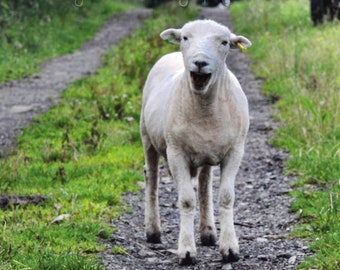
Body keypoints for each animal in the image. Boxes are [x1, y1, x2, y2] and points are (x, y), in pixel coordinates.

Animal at [139, 20, 251, 264]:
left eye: (224, 42)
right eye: (185, 38)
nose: (200, 62)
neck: (205, 107)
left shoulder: (235, 151)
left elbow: (226, 197)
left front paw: (229, 248)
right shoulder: (176, 153)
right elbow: (187, 200)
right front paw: (187, 251)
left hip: (206, 152)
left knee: (204, 184)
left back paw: (208, 232)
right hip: (147, 137)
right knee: (152, 179)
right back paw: (153, 231)